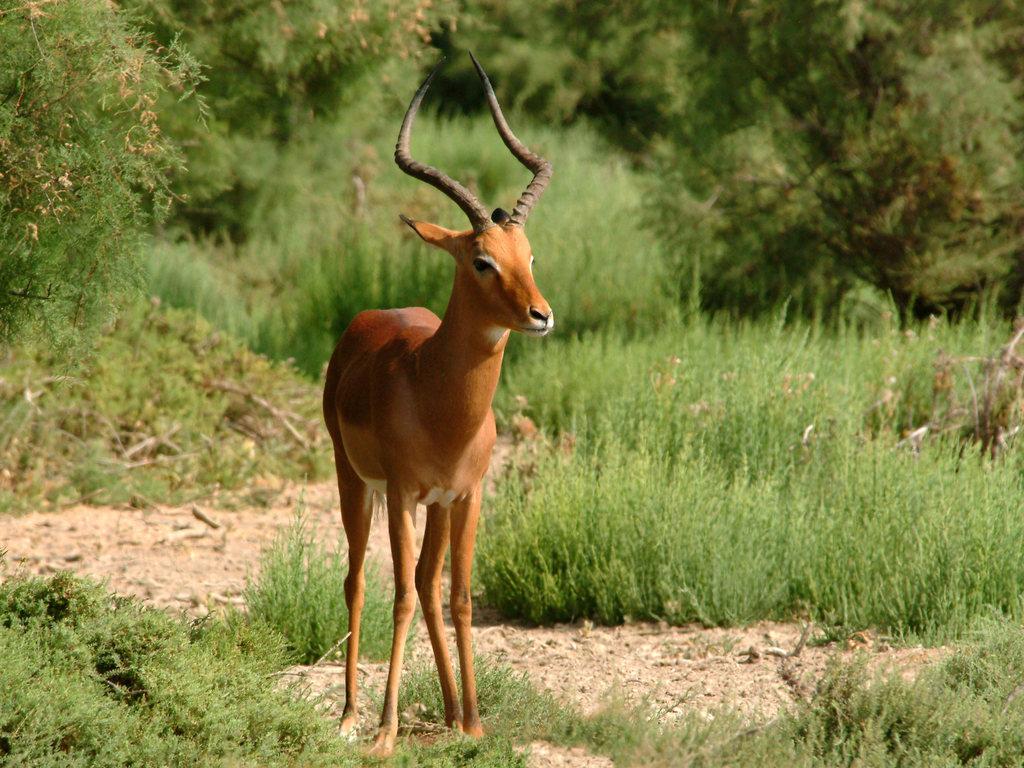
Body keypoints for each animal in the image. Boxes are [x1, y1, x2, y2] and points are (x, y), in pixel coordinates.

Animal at [322, 53, 553, 756]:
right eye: (481, 260)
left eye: (528, 255)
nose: (541, 315)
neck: (442, 405)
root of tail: (367, 320)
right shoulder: (400, 492)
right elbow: (396, 594)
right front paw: (384, 733)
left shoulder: (467, 494)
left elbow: (460, 597)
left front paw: (474, 724)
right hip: (354, 482)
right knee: (360, 581)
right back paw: (351, 716)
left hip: (437, 507)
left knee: (428, 584)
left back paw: (451, 713)